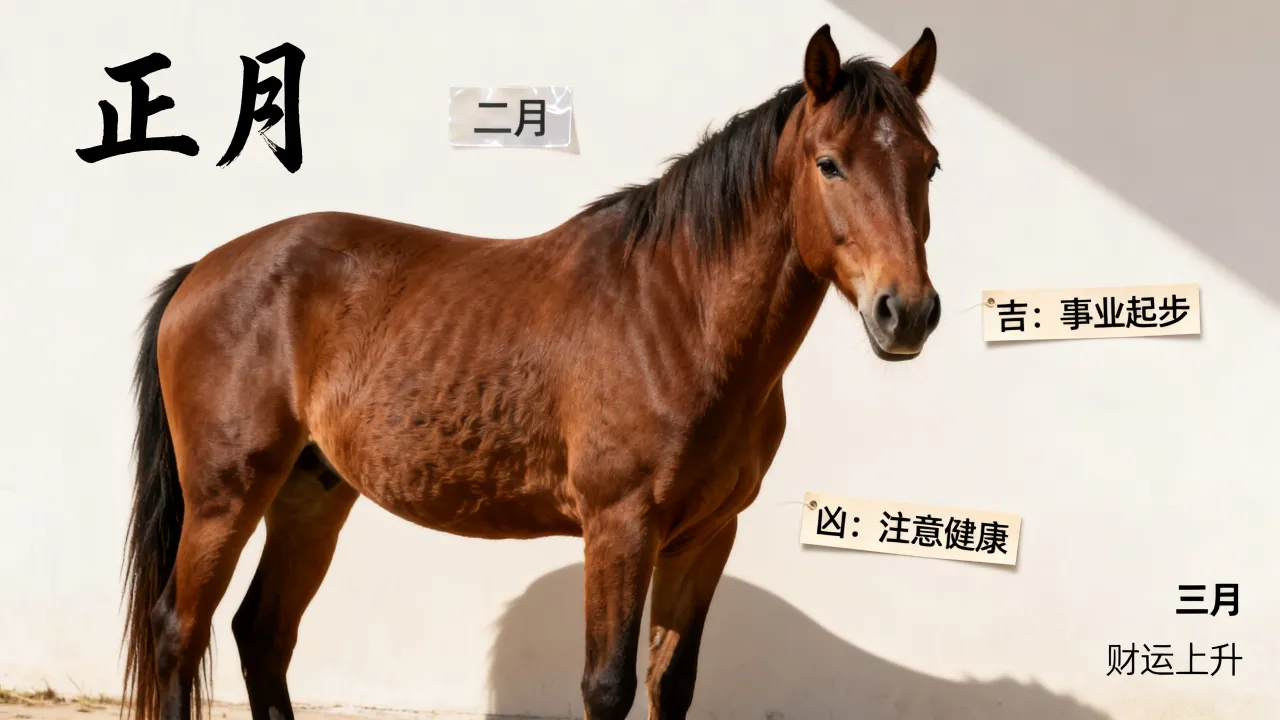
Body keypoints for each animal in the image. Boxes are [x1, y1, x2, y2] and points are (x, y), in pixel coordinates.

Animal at [120, 24, 942, 720]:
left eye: (929, 166)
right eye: (828, 164)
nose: (907, 312)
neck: (678, 311)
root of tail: (204, 271)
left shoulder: (707, 535)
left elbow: (670, 682)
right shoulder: (620, 527)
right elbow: (607, 686)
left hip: (311, 493)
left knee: (263, 633)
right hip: (227, 495)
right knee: (179, 630)